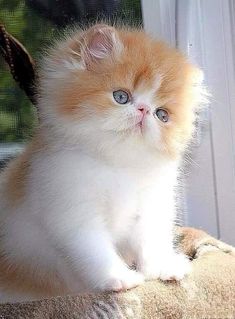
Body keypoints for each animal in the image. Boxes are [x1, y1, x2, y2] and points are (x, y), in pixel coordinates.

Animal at [0, 23, 204, 304]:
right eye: (121, 96)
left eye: (162, 115)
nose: (143, 110)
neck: (117, 165)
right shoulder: (71, 210)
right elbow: (94, 249)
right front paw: (119, 278)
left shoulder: (152, 205)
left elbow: (151, 238)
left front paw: (162, 265)